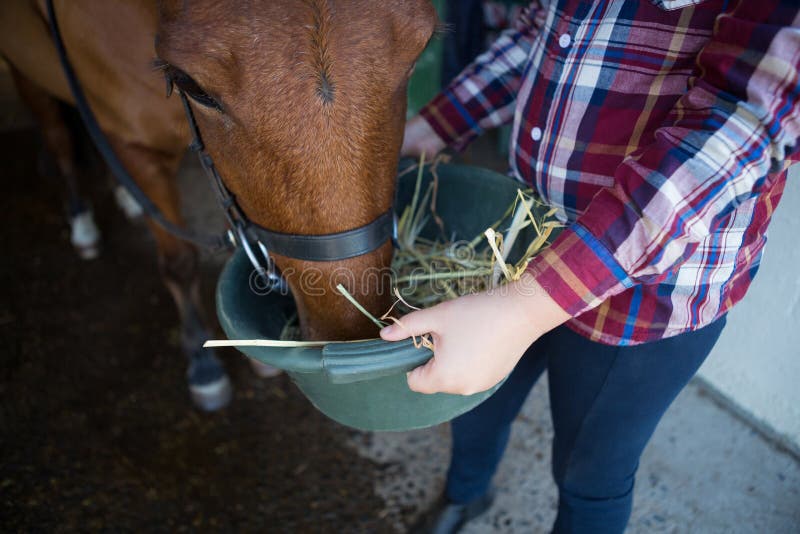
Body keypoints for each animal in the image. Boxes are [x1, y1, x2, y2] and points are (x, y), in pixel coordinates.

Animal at [0, 0, 437, 409]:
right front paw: (202, 361)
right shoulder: (136, 148)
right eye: (189, 84)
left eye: (421, 48)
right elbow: (179, 262)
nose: (349, 330)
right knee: (57, 140)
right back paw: (82, 221)